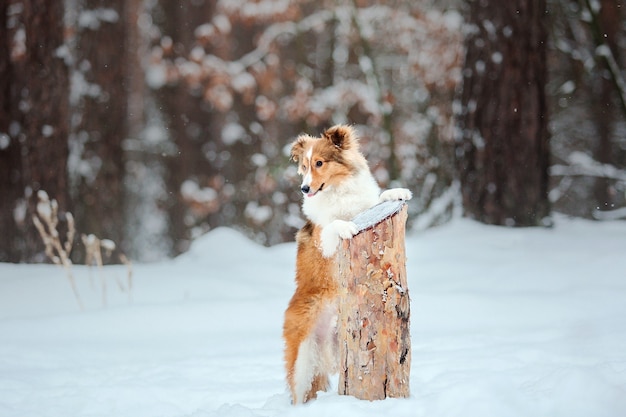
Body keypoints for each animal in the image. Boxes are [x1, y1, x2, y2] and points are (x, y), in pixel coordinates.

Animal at [282, 124, 410, 404]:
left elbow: (378, 199)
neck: (337, 191)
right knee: (298, 393)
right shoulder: (325, 242)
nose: (304, 188)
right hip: (303, 360)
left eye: (319, 163)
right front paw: (346, 226)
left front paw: (396, 192)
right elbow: (334, 225)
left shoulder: (364, 208)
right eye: (304, 166)